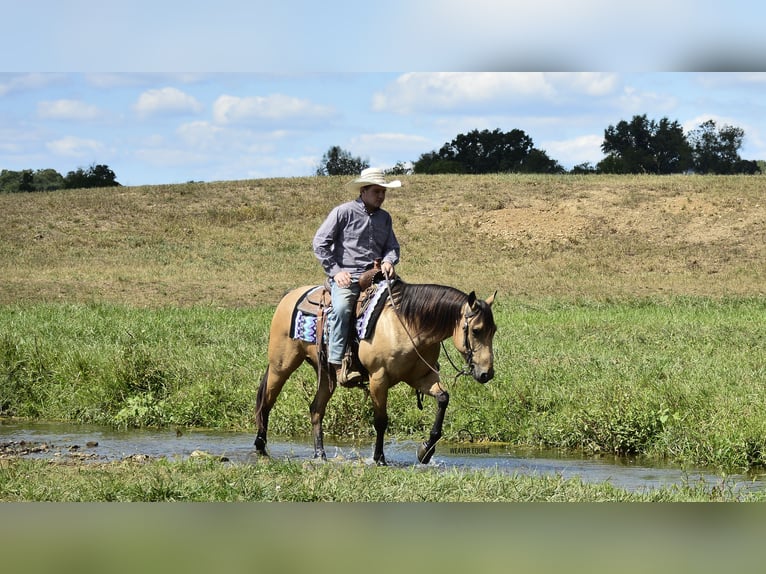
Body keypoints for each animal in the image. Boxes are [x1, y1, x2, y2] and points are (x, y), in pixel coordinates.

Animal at [254, 279, 497, 465]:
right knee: (266, 402)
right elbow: (380, 420)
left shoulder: (422, 378)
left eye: (493, 330)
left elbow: (443, 399)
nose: (487, 374)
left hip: (327, 375)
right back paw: (260, 448)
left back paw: (320, 455)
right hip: (281, 365)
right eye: (476, 330)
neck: (407, 326)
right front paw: (379, 458)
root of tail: (290, 296)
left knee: (316, 409)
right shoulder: (378, 379)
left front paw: (426, 451)